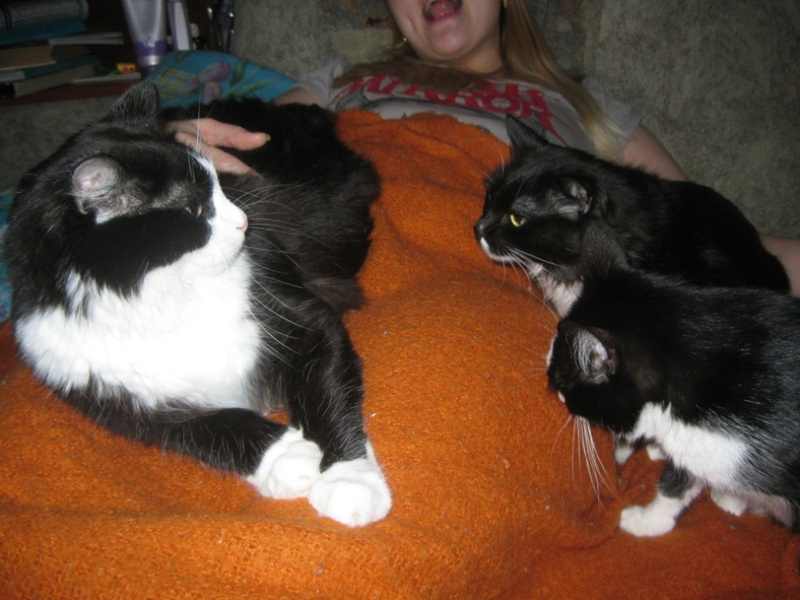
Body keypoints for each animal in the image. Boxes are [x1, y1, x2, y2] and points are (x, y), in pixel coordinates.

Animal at [4, 82, 391, 527]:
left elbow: (324, 392)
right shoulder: (118, 399)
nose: (244, 221)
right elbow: (213, 426)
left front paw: (349, 480)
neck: (161, 296)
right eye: (195, 209)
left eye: (222, 184)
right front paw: (286, 457)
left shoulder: (306, 320)